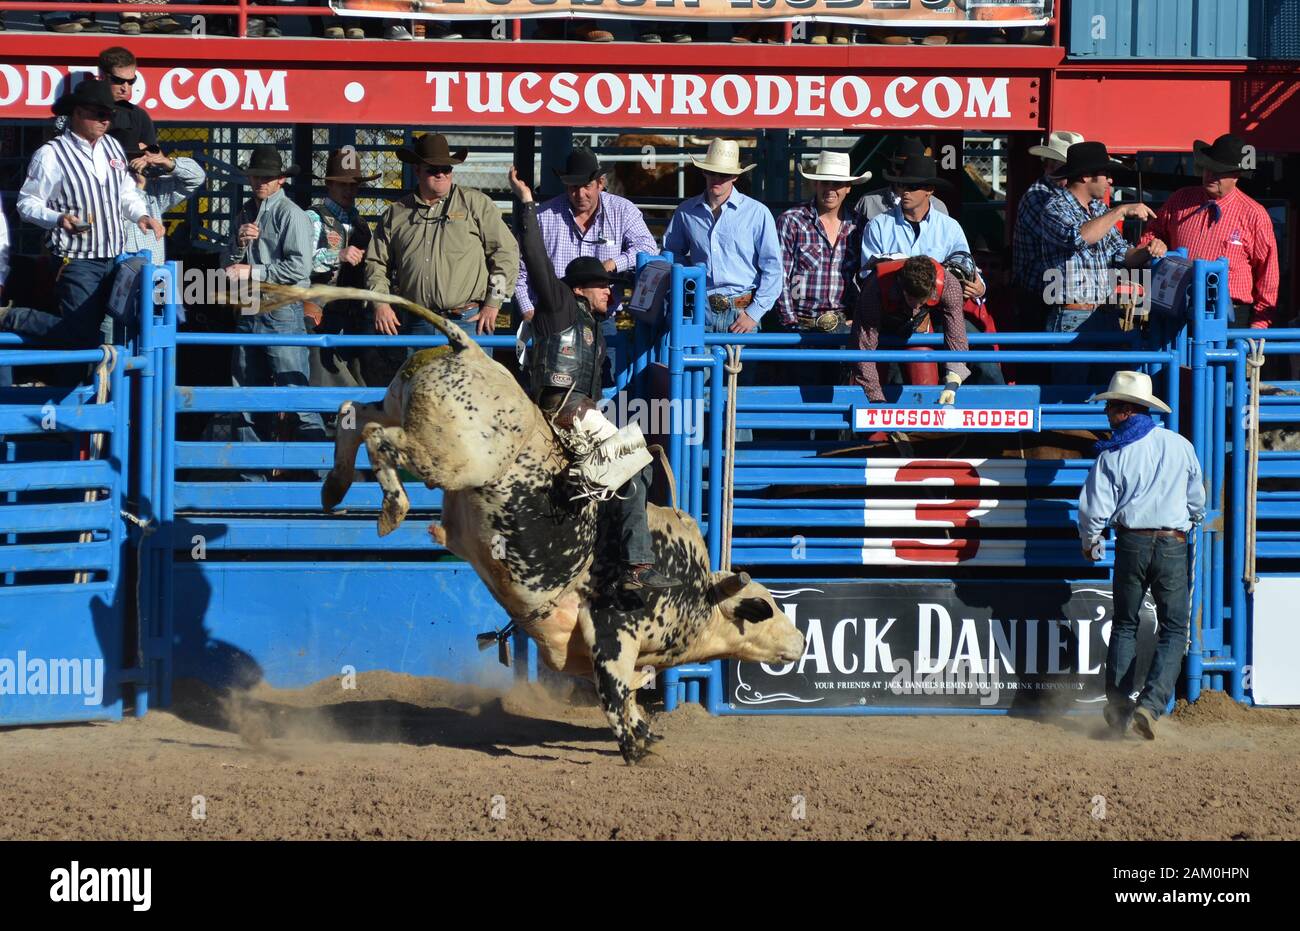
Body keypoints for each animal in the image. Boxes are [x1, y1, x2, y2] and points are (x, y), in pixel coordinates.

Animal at [262, 283, 800, 764]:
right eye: (765, 607)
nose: (799, 641)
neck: (691, 584)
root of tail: (469, 350)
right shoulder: (613, 633)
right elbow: (615, 694)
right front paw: (635, 747)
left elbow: (628, 696)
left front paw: (645, 732)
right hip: (448, 458)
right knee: (378, 437)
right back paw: (391, 508)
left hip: (404, 408)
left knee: (353, 413)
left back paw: (334, 486)